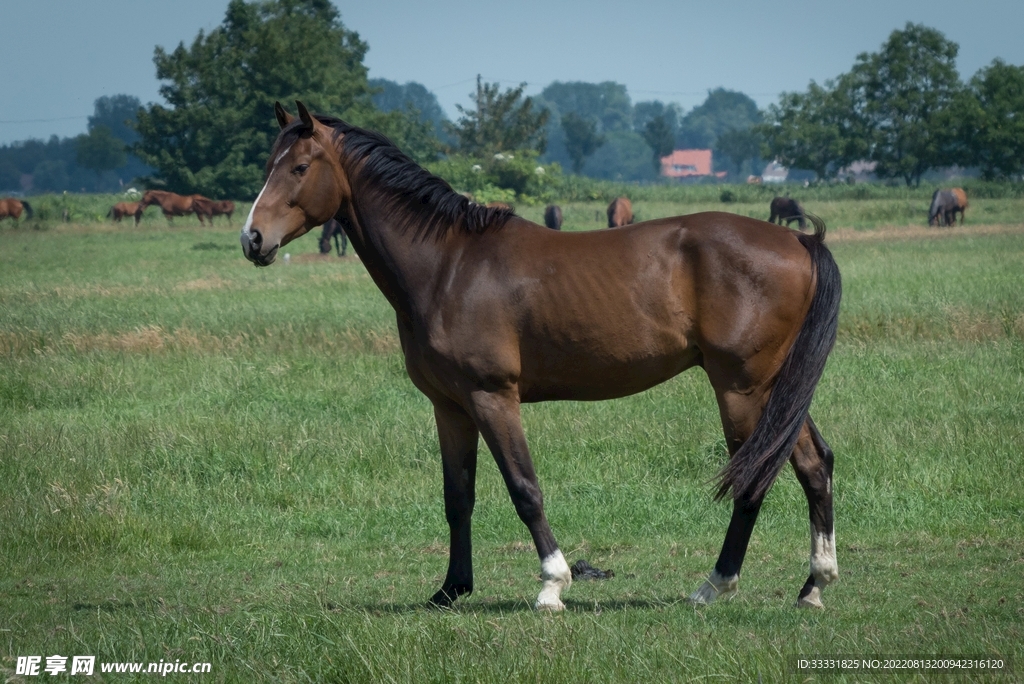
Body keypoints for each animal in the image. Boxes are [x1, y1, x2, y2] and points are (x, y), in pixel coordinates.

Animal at [240, 102, 842, 612]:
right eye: (270, 165)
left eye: (299, 167)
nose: (252, 239)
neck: (448, 266)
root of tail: (799, 242)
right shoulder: (450, 406)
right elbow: (458, 496)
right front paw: (451, 589)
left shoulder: (492, 397)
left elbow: (524, 488)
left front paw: (553, 585)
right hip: (773, 389)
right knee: (814, 463)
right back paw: (814, 586)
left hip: (740, 389)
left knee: (753, 479)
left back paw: (715, 585)